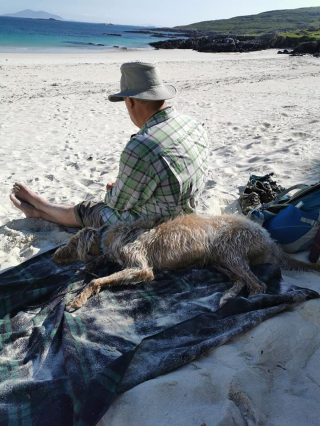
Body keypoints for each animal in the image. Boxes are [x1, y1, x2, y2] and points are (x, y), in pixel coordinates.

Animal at [52, 213, 320, 310]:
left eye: (71, 242)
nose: (55, 256)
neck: (110, 235)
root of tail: (268, 237)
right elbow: (99, 264)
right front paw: (87, 267)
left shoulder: (142, 268)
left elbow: (97, 281)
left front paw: (77, 299)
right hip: (218, 259)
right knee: (241, 280)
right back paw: (227, 297)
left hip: (229, 250)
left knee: (258, 285)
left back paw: (247, 302)